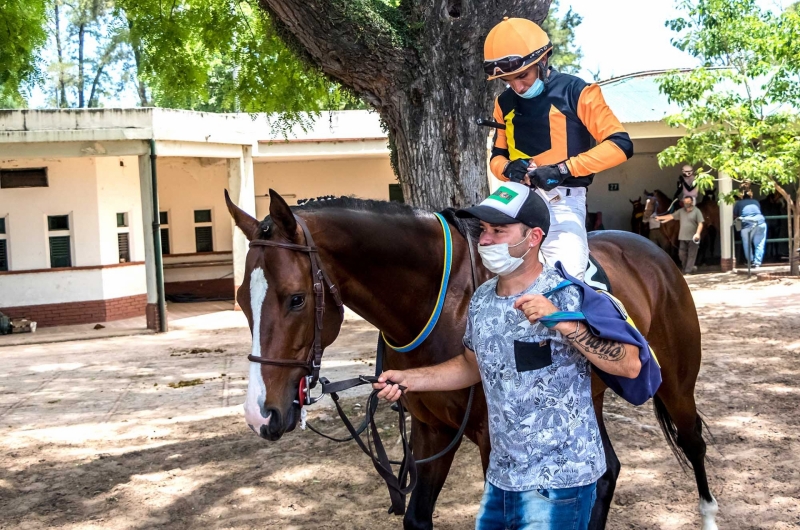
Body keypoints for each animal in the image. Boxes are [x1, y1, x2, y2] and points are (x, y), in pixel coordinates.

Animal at [227, 190, 720, 528]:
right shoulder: (431, 430)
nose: (260, 415)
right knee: (605, 471)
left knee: (693, 442)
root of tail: (654, 252)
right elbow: (417, 516)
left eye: (295, 299)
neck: (442, 301)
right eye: (240, 299)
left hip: (677, 383)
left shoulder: (493, 444)